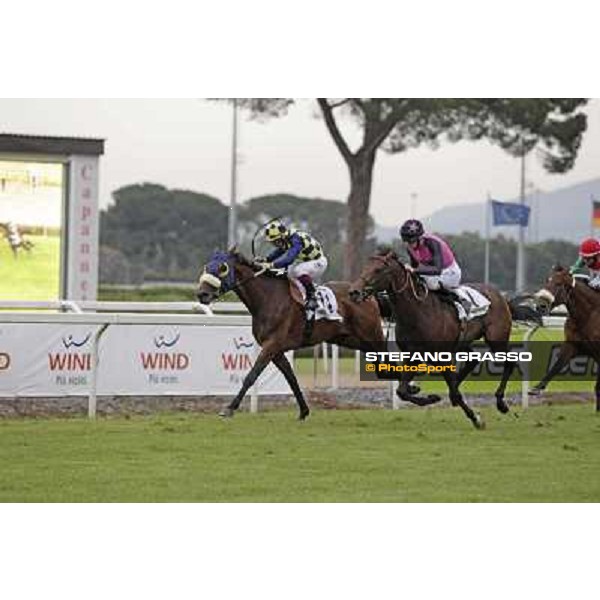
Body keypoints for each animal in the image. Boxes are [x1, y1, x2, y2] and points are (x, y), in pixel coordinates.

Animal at [197, 248, 400, 422]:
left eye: (223, 268)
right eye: (207, 266)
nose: (202, 294)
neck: (268, 298)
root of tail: (368, 295)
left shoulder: (272, 345)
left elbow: (251, 376)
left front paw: (229, 408)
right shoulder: (275, 350)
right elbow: (291, 378)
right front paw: (304, 411)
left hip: (371, 335)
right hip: (350, 339)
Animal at [350, 251, 540, 428]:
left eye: (378, 270)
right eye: (364, 268)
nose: (354, 292)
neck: (417, 312)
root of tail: (501, 297)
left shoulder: (441, 356)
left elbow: (453, 392)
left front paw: (476, 419)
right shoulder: (413, 354)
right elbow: (402, 391)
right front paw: (428, 395)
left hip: (496, 339)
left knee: (510, 362)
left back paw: (501, 402)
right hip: (464, 343)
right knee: (473, 360)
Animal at [528, 264, 600, 410]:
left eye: (558, 284)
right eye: (547, 280)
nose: (541, 306)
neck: (588, 314)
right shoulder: (572, 344)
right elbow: (557, 365)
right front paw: (536, 388)